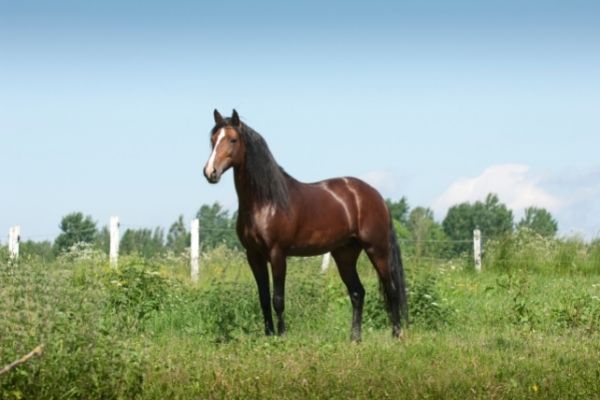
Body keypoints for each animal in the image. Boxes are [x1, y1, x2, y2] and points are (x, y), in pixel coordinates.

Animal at [203, 109, 408, 340]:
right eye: (213, 140)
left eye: (233, 139)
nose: (210, 172)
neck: (265, 203)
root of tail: (375, 195)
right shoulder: (253, 255)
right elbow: (263, 298)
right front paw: (268, 335)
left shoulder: (277, 253)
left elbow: (278, 299)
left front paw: (282, 336)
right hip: (345, 254)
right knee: (357, 292)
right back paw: (355, 339)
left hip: (377, 249)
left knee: (391, 290)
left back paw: (397, 335)